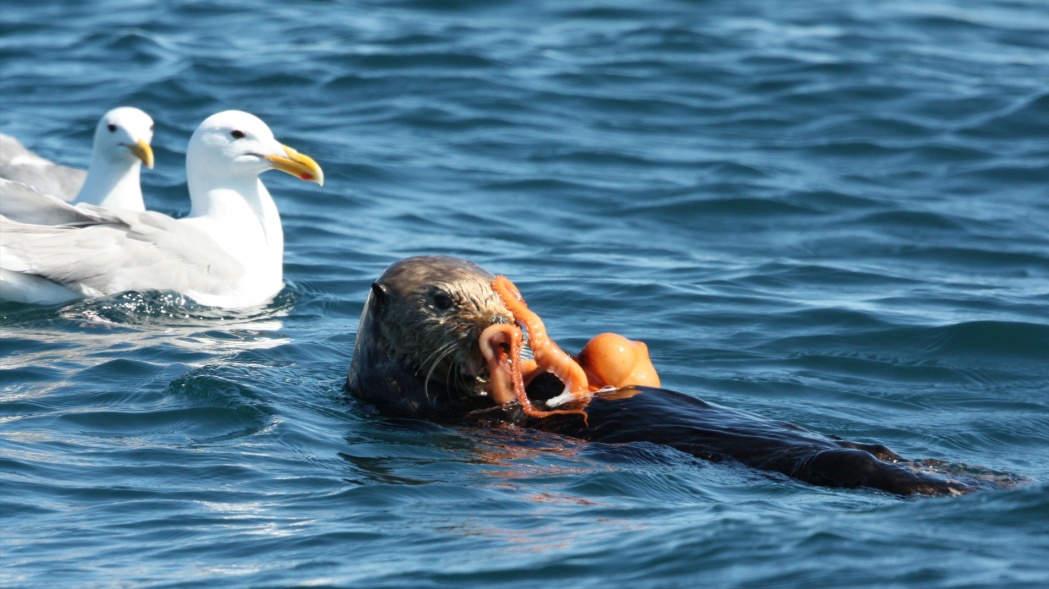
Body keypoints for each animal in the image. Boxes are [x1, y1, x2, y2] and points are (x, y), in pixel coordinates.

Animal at [347, 255, 980, 496]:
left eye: (495, 292)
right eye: (442, 300)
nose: (501, 325)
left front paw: (548, 377)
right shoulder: (425, 408)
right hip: (833, 465)